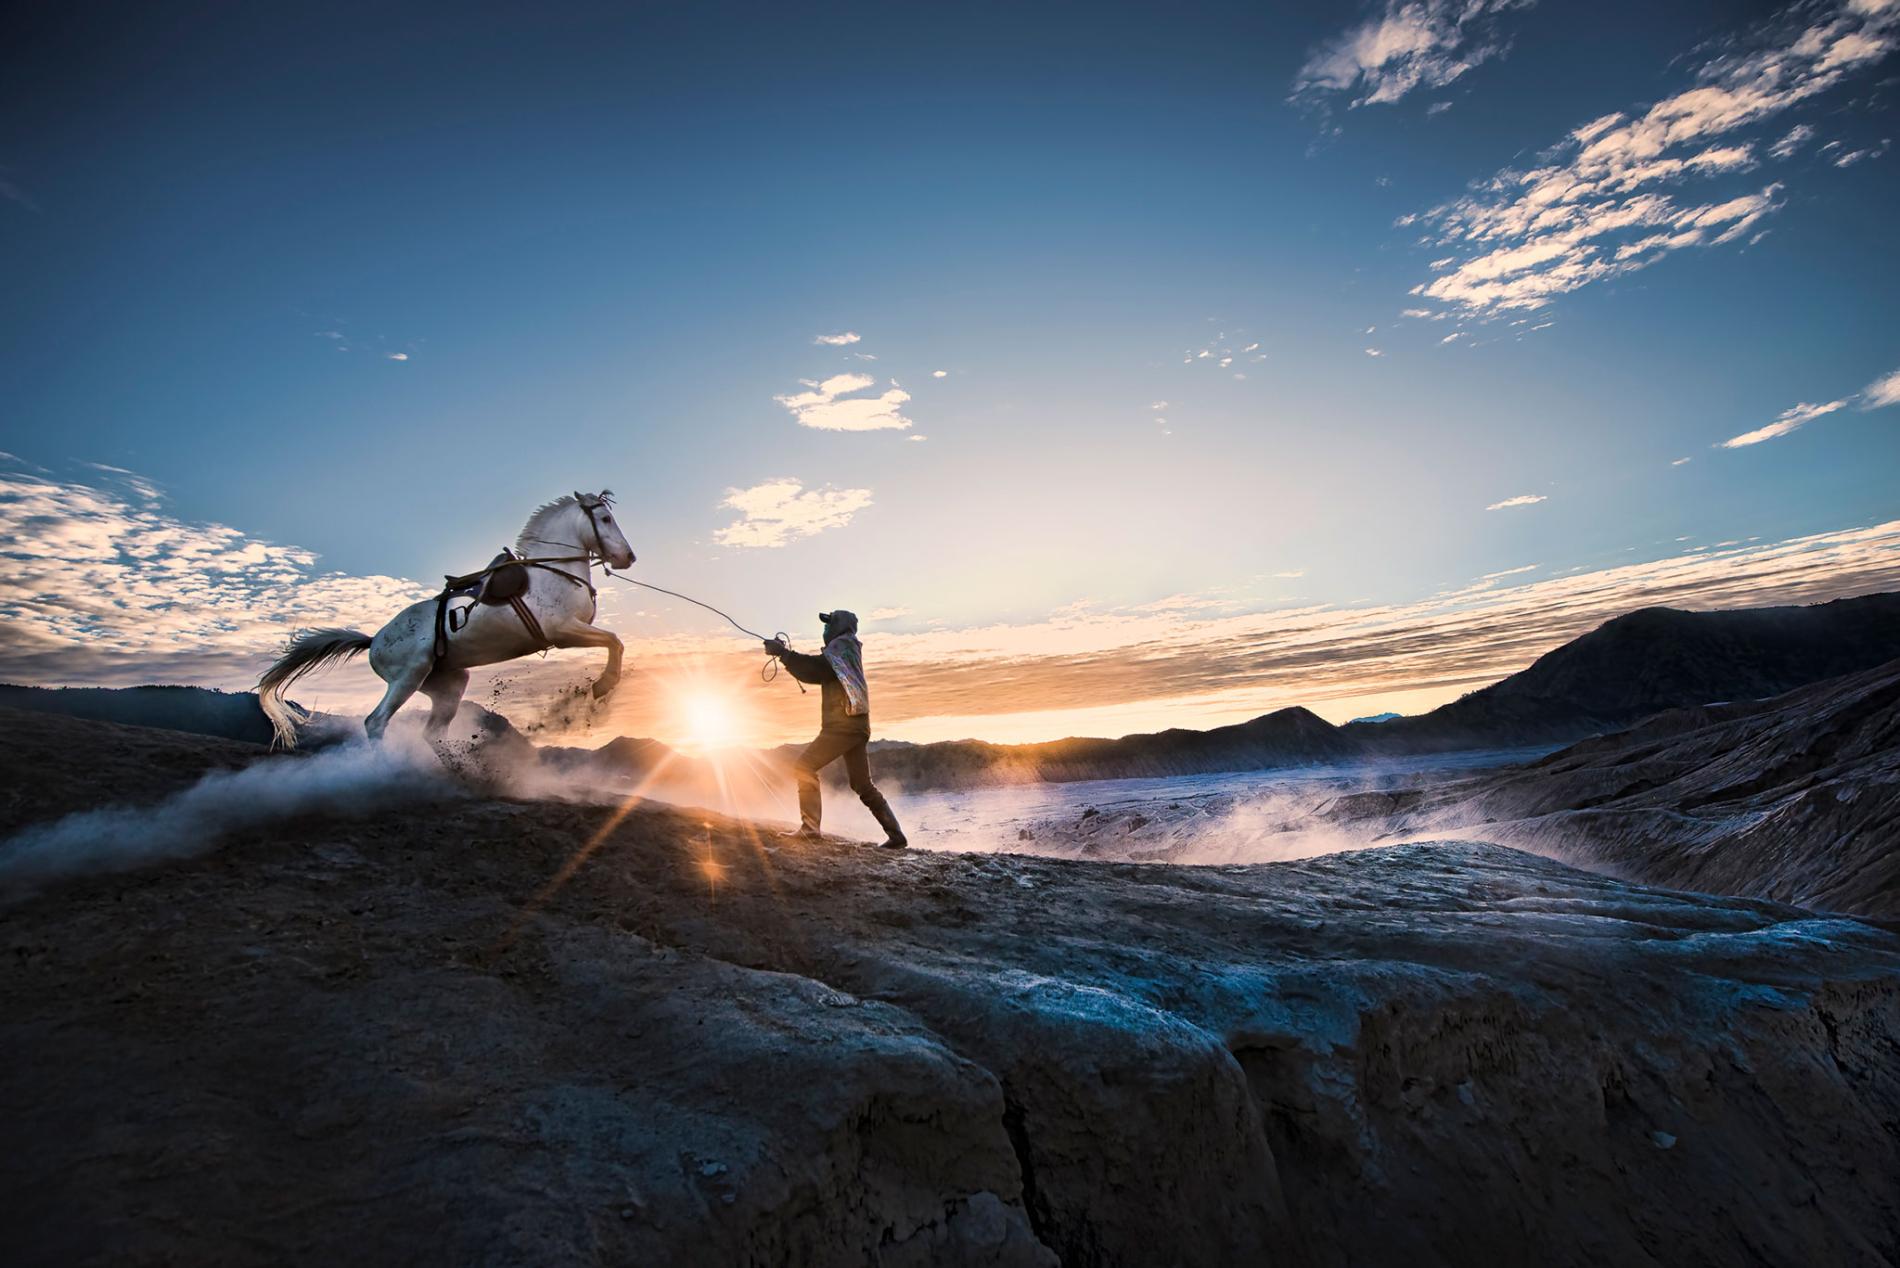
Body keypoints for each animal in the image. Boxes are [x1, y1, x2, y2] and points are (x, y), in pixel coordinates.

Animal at [252, 490, 642, 749]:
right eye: (605, 519)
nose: (628, 557)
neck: (552, 572)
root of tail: (374, 640)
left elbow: (615, 641)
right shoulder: (562, 631)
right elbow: (615, 640)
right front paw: (604, 684)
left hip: (447, 683)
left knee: (432, 733)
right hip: (408, 676)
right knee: (376, 722)